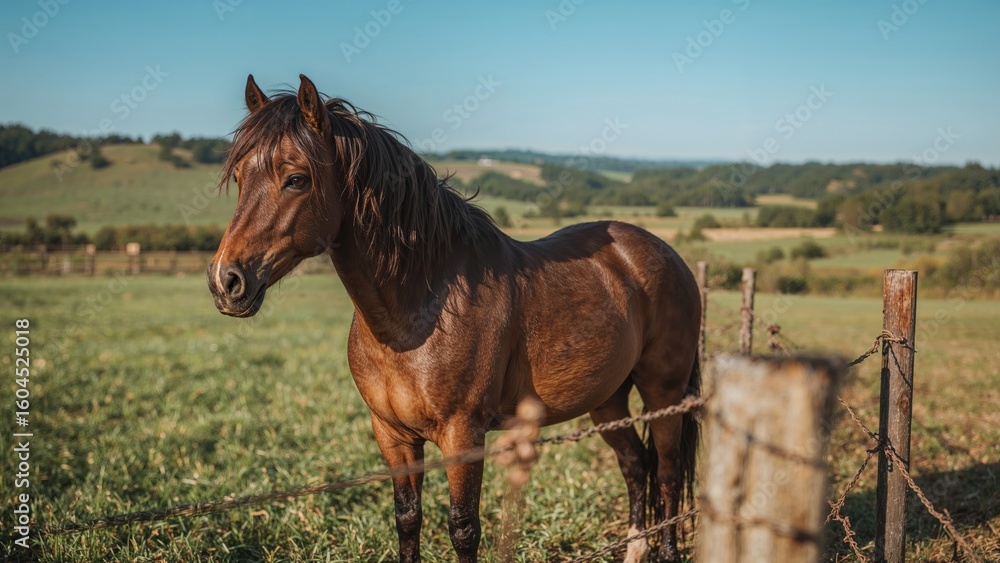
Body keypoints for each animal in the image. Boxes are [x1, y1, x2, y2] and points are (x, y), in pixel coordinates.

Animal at [207, 74, 701, 563]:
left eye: (296, 179)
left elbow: (463, 528)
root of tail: (663, 253)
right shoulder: (393, 435)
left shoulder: (462, 436)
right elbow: (407, 518)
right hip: (607, 398)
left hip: (663, 392)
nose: (226, 281)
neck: (417, 315)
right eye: (240, 176)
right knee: (635, 465)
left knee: (668, 472)